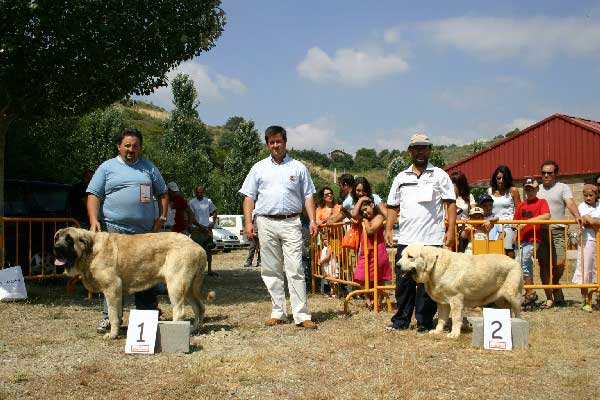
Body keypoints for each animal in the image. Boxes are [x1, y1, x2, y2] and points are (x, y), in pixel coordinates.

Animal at [54, 228, 209, 338]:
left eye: (69, 239)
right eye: (56, 237)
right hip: (188, 288)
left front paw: (112, 334)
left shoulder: (112, 288)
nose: (56, 247)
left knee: (180, 312)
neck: (91, 251)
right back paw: (194, 329)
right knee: (199, 307)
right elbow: (116, 313)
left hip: (175, 285)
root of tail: (198, 247)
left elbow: (112, 314)